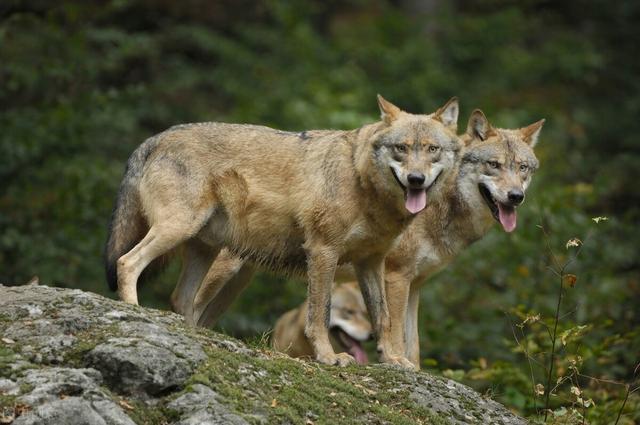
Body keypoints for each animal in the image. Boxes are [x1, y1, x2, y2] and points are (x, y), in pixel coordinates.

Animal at [107, 94, 462, 366]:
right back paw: (134, 312)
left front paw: (393, 360)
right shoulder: (322, 251)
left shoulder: (372, 263)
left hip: (204, 250)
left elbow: (384, 318)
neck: (361, 181)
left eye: (432, 150)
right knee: (128, 262)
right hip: (180, 230)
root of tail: (154, 138)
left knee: (181, 300)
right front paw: (328, 358)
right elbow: (320, 314)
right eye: (401, 148)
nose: (416, 179)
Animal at [184, 109, 540, 368]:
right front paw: (392, 361)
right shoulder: (396, 277)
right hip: (225, 273)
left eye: (522, 168)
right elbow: (395, 333)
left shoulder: (416, 286)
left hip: (238, 282)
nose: (515, 196)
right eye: (494, 165)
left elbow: (414, 346)